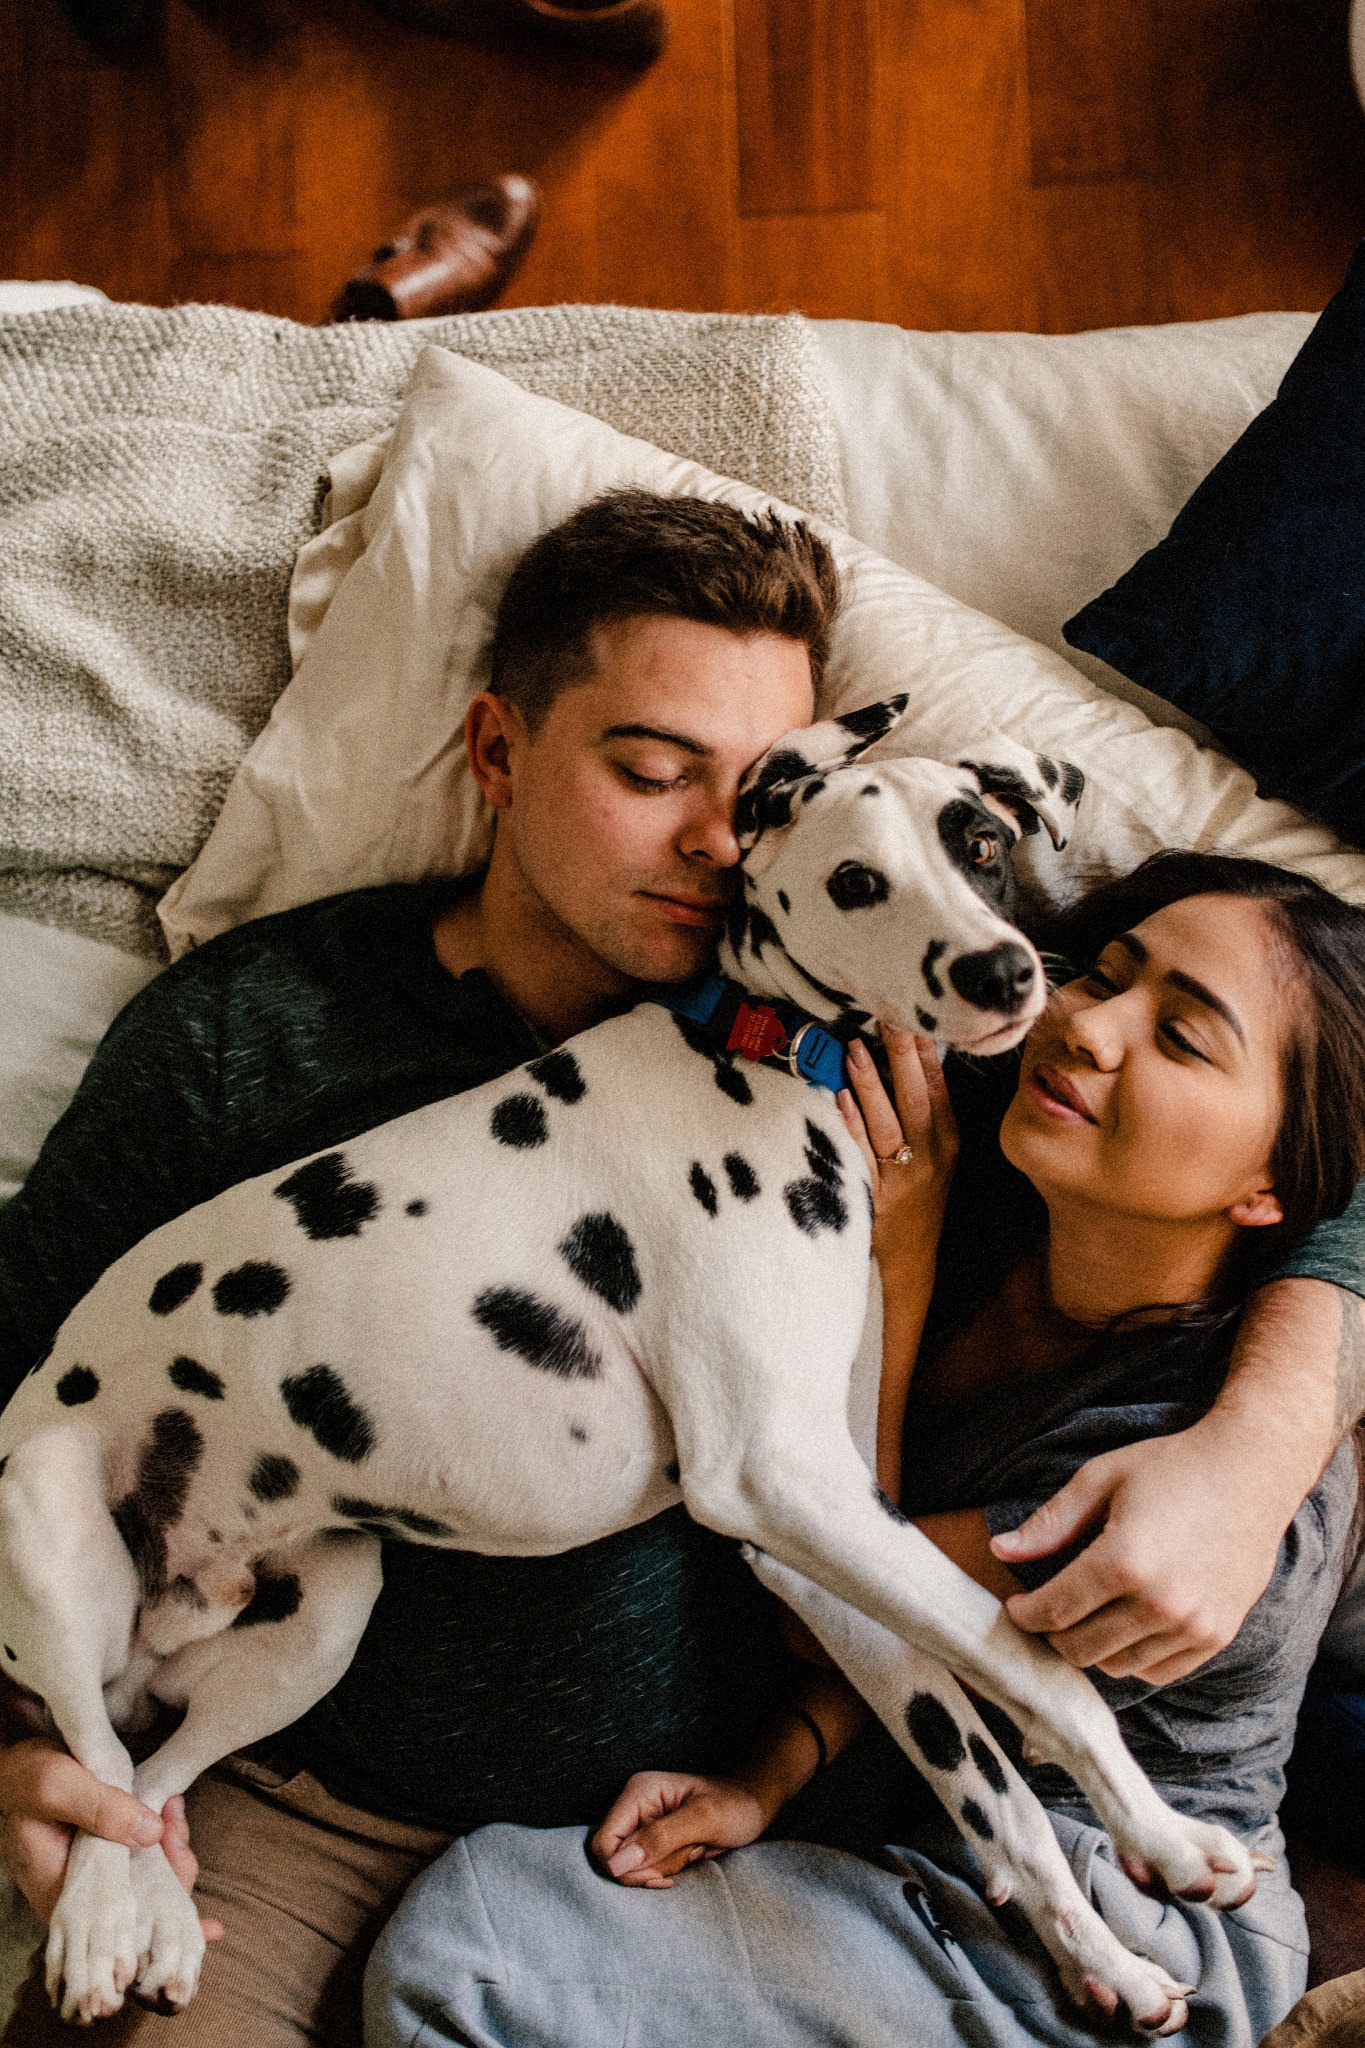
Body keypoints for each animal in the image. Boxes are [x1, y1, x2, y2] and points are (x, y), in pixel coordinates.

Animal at [0, 700, 1268, 2031]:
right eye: (856, 882)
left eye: (977, 841)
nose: (1002, 971)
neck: (760, 1053)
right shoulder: (777, 1477)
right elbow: (1042, 1668)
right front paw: (1165, 1842)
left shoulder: (818, 1537)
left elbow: (992, 1788)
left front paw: (1115, 1945)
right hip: (42, 1504)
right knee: (92, 1762)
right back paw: (99, 1927)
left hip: (323, 1616)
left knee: (151, 1776)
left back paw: (152, 1917)